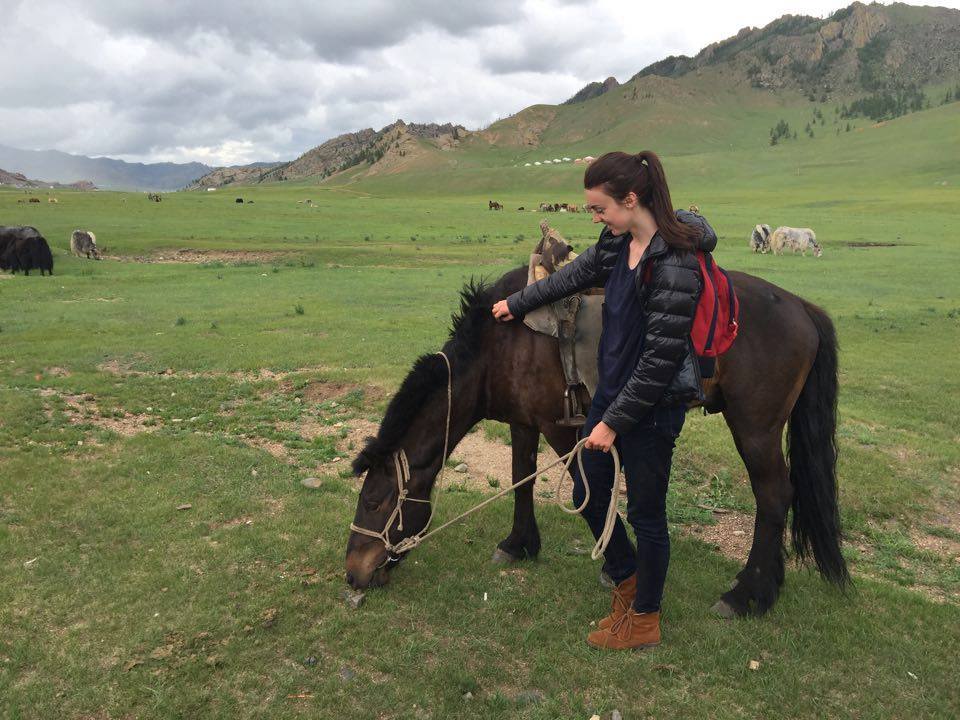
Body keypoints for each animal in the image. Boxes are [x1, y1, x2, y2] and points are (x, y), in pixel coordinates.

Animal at [346, 268, 848, 616]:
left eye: (373, 501)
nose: (353, 573)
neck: (501, 347)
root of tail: (802, 307)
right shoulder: (524, 422)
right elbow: (522, 478)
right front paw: (519, 544)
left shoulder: (561, 427)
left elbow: (584, 491)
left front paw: (616, 567)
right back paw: (766, 585)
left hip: (755, 427)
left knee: (774, 494)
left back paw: (747, 595)